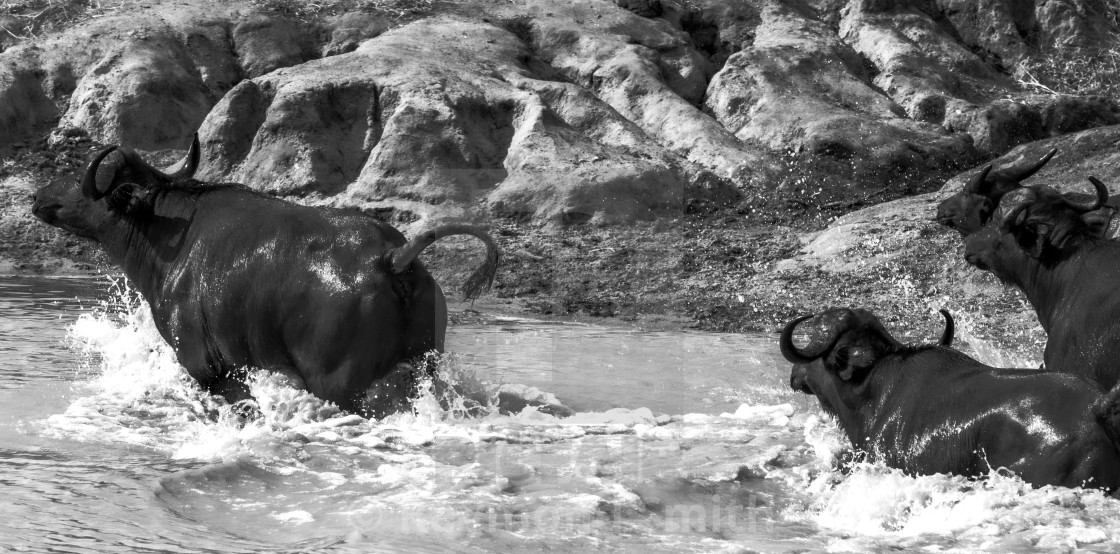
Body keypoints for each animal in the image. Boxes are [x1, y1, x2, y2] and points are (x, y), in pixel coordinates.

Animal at [33, 137, 499, 416]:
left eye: (82, 179)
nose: (38, 196)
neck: (170, 234)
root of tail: (390, 257)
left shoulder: (204, 367)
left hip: (340, 386)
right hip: (426, 365)